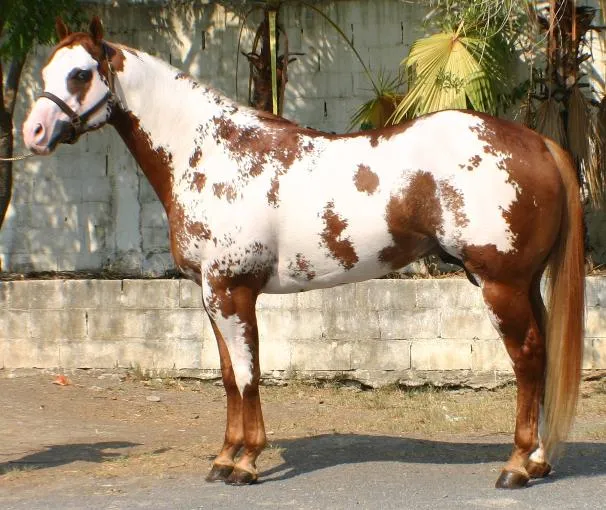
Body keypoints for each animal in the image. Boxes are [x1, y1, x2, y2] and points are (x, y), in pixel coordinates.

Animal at [21, 17, 588, 488]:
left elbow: (248, 375)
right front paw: (224, 458)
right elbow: (228, 376)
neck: (213, 155)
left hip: (501, 285)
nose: (33, 132)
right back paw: (539, 461)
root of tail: (538, 142)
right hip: (525, 284)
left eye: (80, 74)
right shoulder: (210, 294)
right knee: (542, 357)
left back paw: (517, 465)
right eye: (47, 69)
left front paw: (246, 463)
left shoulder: (232, 291)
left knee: (528, 360)